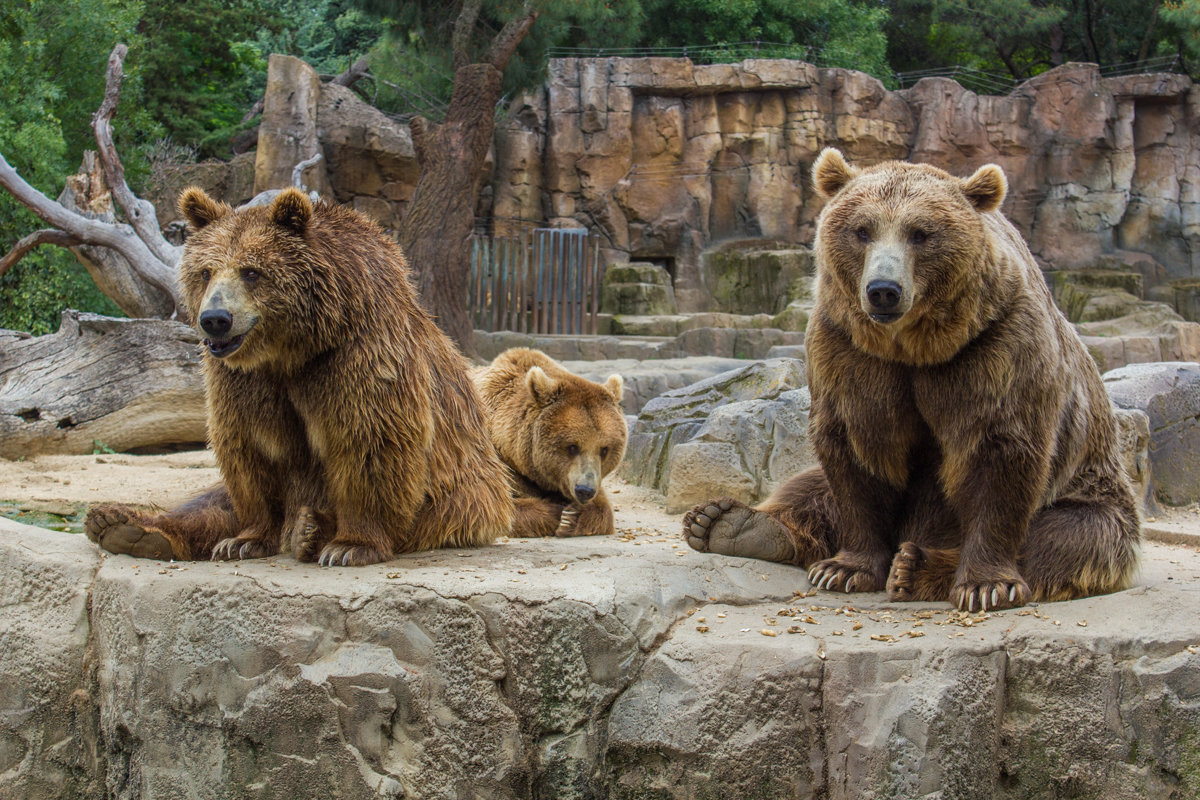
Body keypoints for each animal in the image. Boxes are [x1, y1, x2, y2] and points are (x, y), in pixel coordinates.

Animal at [83, 185, 516, 568]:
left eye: (251, 271)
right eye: (205, 271)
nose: (215, 320)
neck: (293, 347)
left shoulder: (355, 354)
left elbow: (368, 440)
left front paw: (350, 545)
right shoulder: (243, 380)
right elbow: (250, 451)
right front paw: (244, 540)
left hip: (462, 495)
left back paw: (312, 530)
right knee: (209, 500)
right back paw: (125, 526)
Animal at [472, 347, 628, 537]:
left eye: (604, 449)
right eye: (572, 446)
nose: (585, 490)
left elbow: (603, 509)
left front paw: (574, 515)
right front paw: (562, 516)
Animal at [681, 148, 1137, 614]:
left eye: (920, 233)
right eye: (862, 230)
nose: (884, 289)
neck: (915, 346)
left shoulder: (996, 345)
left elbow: (999, 452)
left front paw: (985, 584)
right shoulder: (849, 349)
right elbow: (855, 448)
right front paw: (844, 568)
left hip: (1091, 492)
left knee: (1070, 538)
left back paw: (915, 567)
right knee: (808, 486)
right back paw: (728, 523)